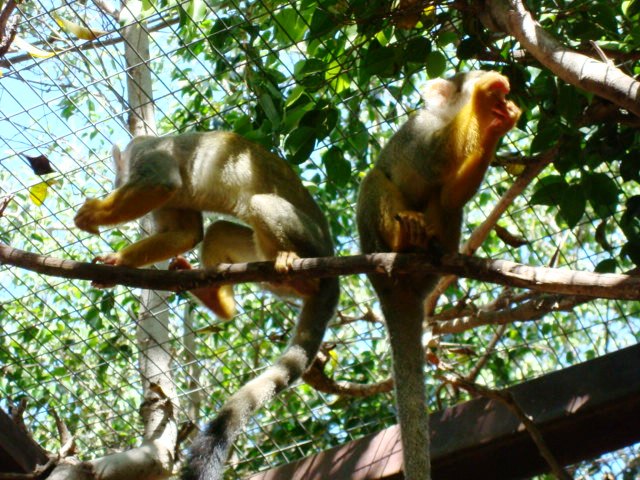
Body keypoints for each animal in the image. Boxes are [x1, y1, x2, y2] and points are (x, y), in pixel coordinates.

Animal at [72, 131, 338, 480]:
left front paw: (95, 213)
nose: (116, 183)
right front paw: (117, 261)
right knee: (220, 230)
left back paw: (298, 271)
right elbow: (185, 233)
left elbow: (161, 184)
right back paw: (217, 296)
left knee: (260, 203)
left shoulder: (145, 150)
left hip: (310, 239)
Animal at [358, 71, 524, 480]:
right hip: (371, 241)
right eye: (469, 78)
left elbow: (450, 197)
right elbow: (432, 159)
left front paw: (498, 123)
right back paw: (402, 239)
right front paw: (483, 100)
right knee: (374, 178)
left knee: (446, 205)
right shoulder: (419, 129)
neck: (446, 116)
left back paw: (429, 248)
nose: (499, 94)